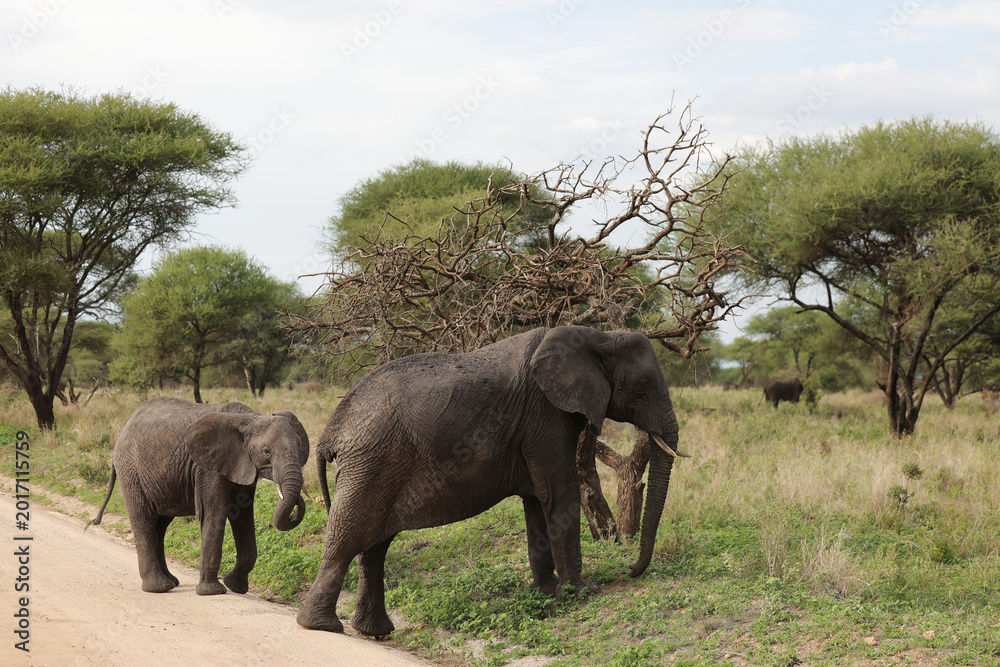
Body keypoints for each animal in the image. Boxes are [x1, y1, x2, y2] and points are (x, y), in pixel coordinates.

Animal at [90, 396, 310, 595]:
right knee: (144, 520)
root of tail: (123, 428)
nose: (298, 501)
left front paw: (235, 587)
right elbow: (215, 512)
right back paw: (158, 588)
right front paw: (213, 591)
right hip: (131, 471)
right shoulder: (208, 468)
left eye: (299, 449)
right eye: (266, 451)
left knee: (159, 525)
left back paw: (171, 582)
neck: (251, 418)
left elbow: (244, 516)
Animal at [296, 325, 683, 637]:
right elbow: (560, 492)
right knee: (349, 534)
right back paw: (320, 626)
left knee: (374, 544)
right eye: (644, 385)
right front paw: (581, 592)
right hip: (373, 460)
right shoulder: (546, 413)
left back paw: (374, 632)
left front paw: (546, 594)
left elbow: (536, 501)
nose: (630, 569)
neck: (598, 336)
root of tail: (332, 429)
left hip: (376, 465)